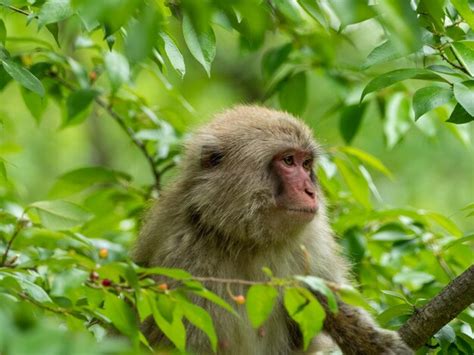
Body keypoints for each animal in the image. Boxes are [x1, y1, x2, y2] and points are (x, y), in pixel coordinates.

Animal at [132, 106, 412, 355]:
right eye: (288, 161)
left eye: (306, 163)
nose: (311, 191)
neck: (244, 239)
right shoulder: (179, 260)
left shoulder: (312, 240)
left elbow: (324, 296)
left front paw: (370, 341)